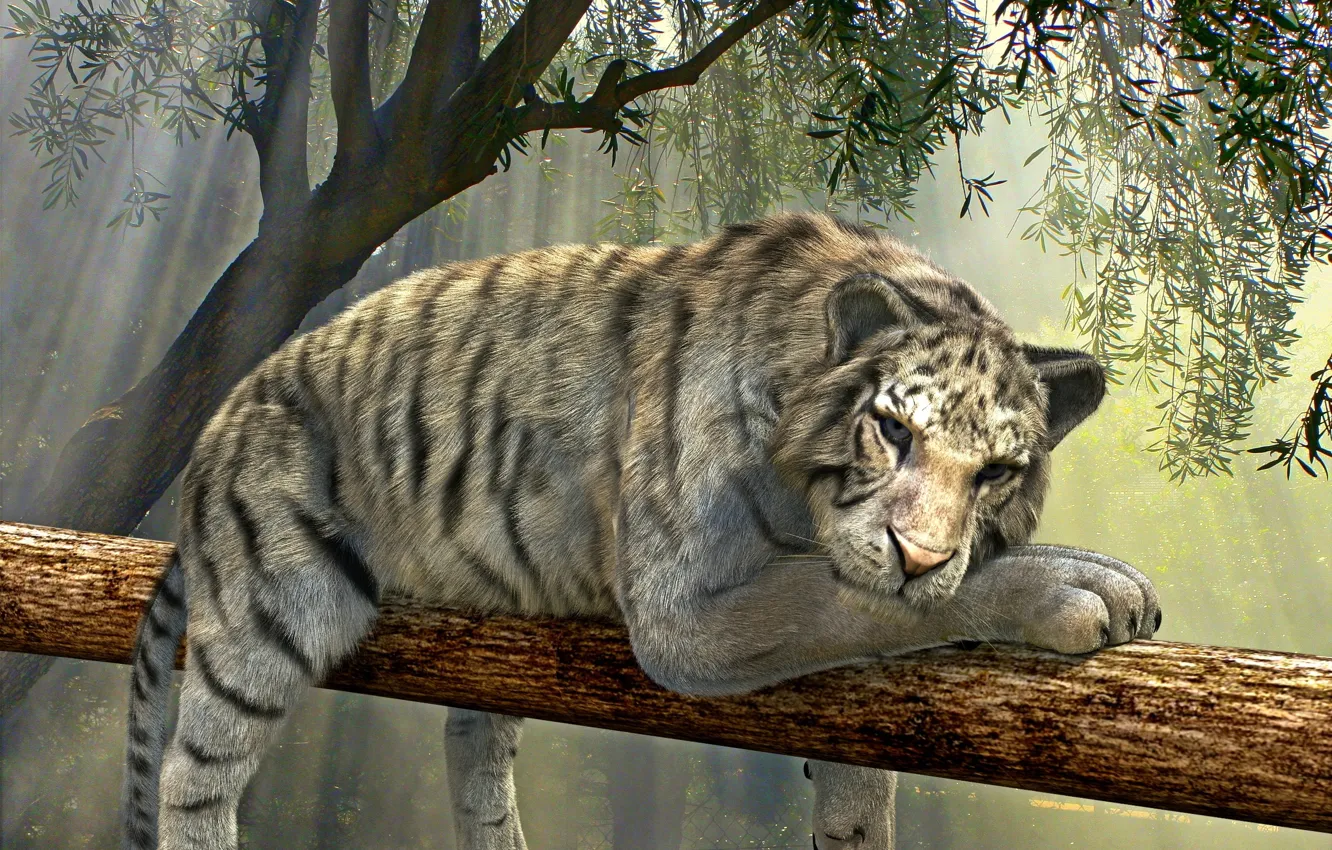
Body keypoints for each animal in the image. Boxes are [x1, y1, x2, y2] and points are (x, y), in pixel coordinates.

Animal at [120, 212, 1160, 850]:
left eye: (996, 473)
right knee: (193, 775)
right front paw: (1080, 586)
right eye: (894, 431)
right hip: (272, 613)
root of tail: (221, 418)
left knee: (471, 744)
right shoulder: (687, 617)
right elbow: (854, 601)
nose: (922, 553)